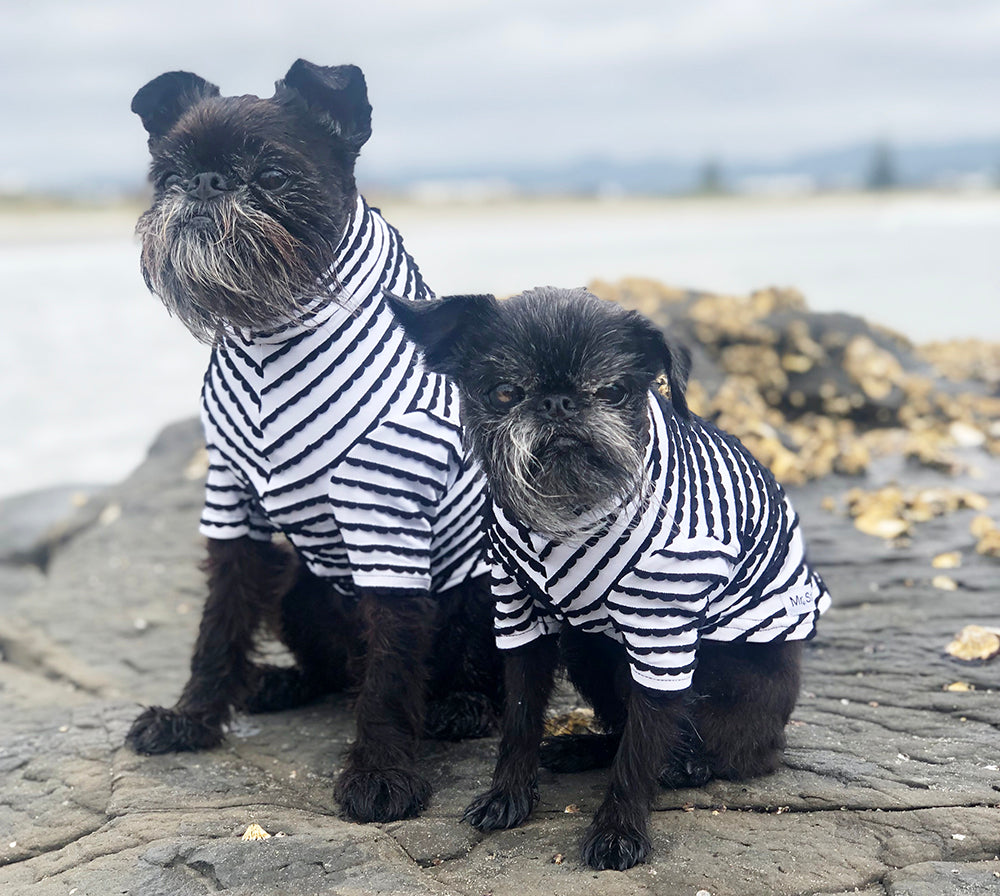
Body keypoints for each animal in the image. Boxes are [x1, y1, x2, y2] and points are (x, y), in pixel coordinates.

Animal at [124, 59, 500, 824]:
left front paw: (381, 772)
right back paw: (278, 683)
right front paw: (193, 717)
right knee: (331, 667)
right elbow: (219, 621)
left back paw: (463, 705)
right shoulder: (230, 506)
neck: (271, 334)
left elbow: (390, 669)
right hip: (299, 585)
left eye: (270, 173)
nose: (205, 183)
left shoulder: (384, 516)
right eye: (169, 171)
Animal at [386, 288, 832, 868]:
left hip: (718, 678)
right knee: (621, 723)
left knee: (731, 749)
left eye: (613, 391)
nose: (558, 403)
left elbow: (641, 749)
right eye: (505, 391)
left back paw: (687, 764)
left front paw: (620, 829)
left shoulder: (661, 638)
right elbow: (521, 719)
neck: (567, 516)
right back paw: (582, 747)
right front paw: (508, 795)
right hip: (585, 648)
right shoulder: (520, 621)